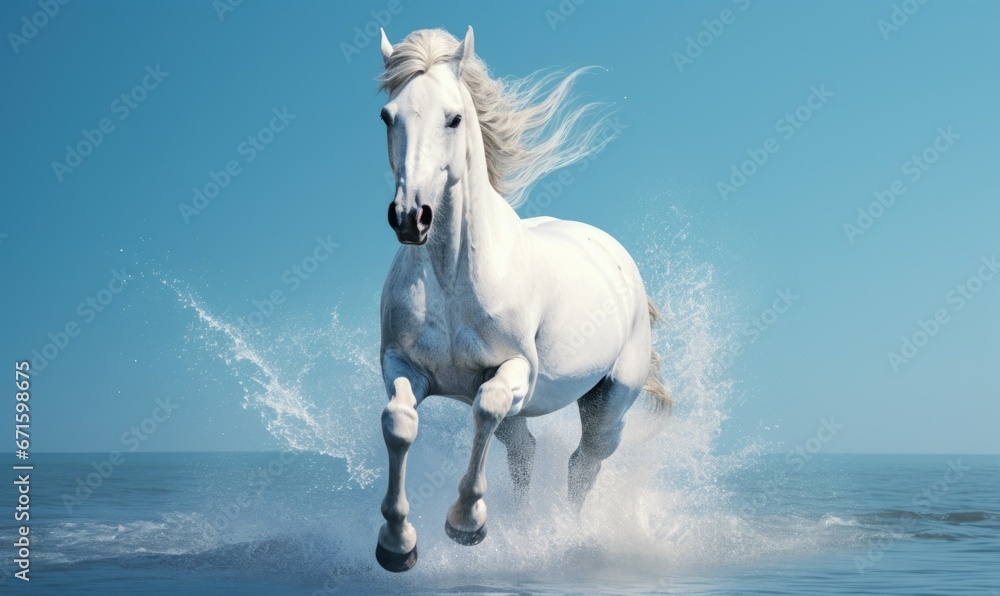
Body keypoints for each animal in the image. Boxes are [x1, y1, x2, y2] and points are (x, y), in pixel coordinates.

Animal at [374, 26, 670, 573]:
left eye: (454, 117)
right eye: (388, 116)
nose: (410, 217)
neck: (451, 280)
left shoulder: (515, 372)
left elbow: (487, 408)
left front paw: (466, 524)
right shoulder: (402, 365)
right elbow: (399, 423)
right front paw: (398, 544)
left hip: (610, 402)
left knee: (583, 461)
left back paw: (568, 537)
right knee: (525, 450)